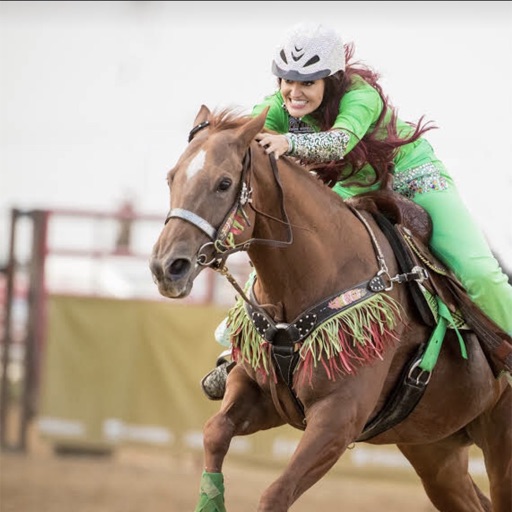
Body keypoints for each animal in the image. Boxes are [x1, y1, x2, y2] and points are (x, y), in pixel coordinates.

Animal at [149, 105, 512, 512]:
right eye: (171, 178)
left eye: (224, 183)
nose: (167, 267)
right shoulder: (259, 393)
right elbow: (215, 432)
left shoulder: (338, 419)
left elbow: (276, 493)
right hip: (434, 450)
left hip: (501, 445)